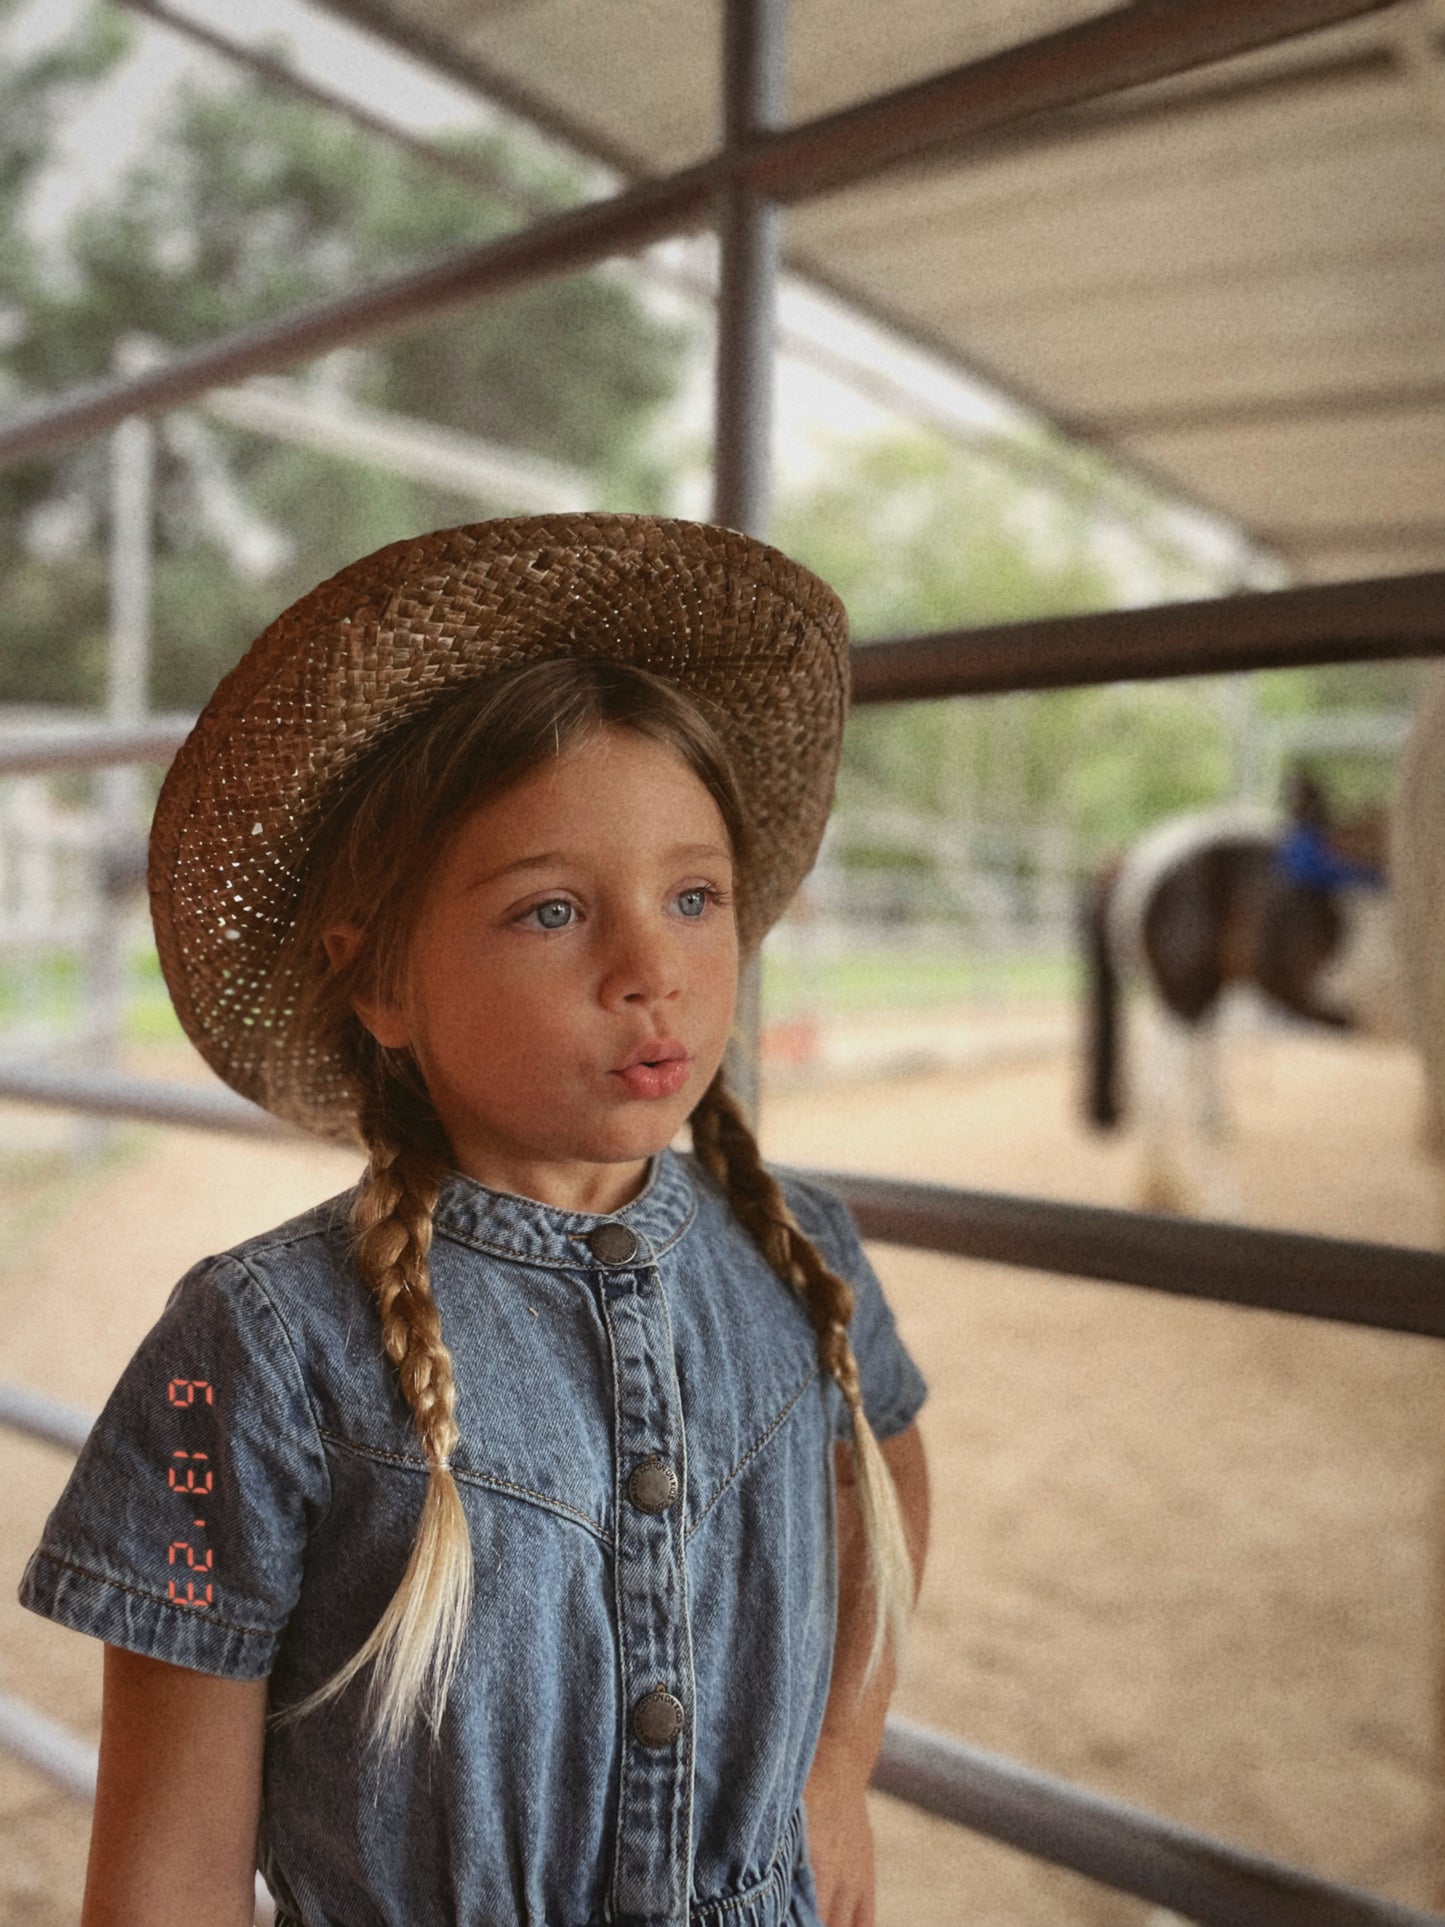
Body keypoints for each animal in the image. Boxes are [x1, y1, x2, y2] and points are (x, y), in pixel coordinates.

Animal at [1086, 774, 1402, 1210]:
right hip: (1186, 1000)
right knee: (1165, 1092)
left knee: (1200, 1103)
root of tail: (1137, 856)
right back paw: (1180, 1197)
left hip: (1201, 1008)